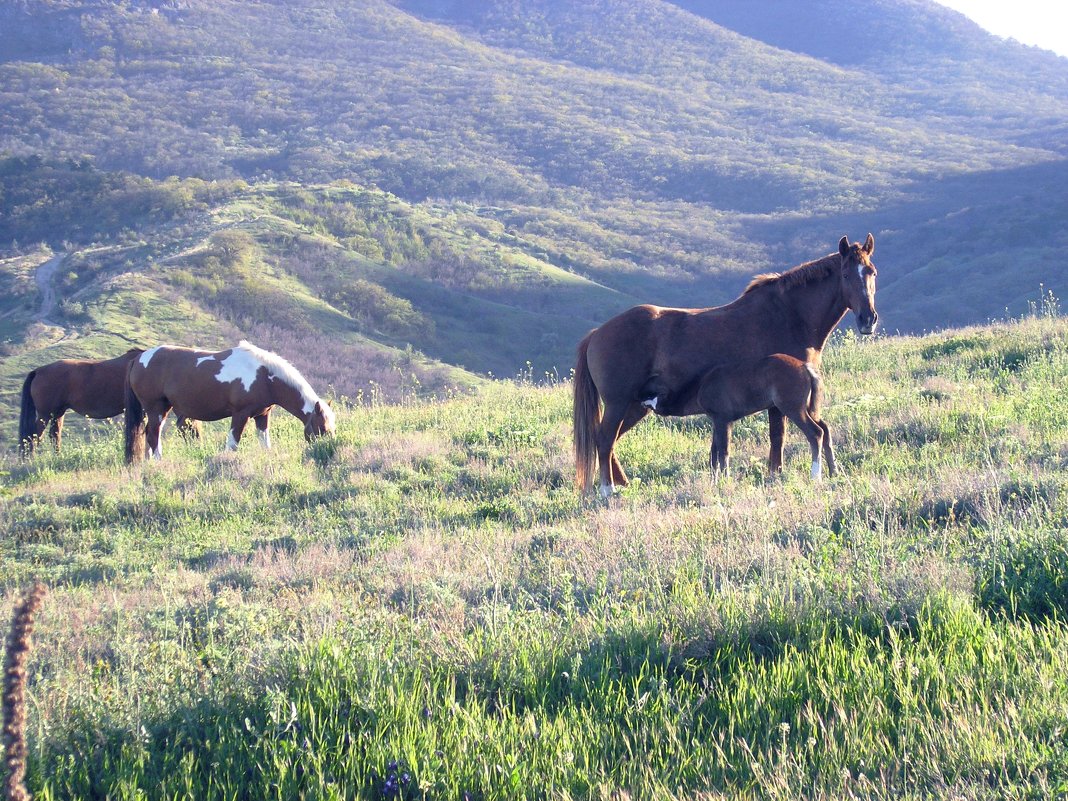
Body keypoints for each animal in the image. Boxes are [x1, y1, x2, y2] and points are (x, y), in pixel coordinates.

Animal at [18, 350, 200, 457]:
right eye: (191, 428)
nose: (198, 446)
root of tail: (38, 371)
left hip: (58, 413)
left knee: (54, 436)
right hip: (45, 414)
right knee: (34, 436)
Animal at [122, 339, 335, 463]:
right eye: (322, 428)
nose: (327, 450)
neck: (264, 375)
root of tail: (139, 358)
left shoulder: (262, 415)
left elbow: (264, 443)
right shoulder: (240, 414)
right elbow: (233, 444)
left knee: (150, 434)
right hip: (156, 409)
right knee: (153, 435)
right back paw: (158, 462)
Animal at [696, 354, 837, 480]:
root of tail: (805, 366)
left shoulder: (722, 419)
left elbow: (723, 451)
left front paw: (725, 481)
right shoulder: (717, 421)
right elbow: (714, 452)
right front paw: (714, 482)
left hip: (794, 409)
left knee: (816, 432)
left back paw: (815, 477)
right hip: (810, 410)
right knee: (825, 429)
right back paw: (833, 473)